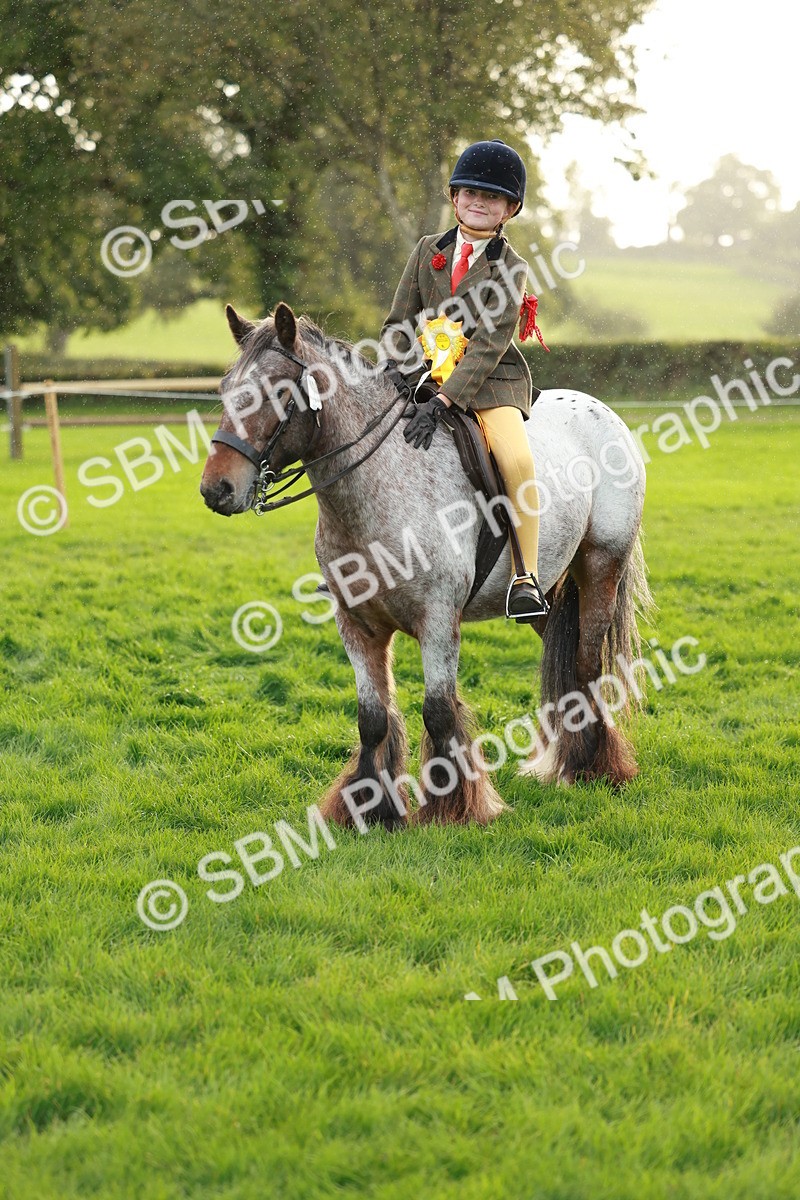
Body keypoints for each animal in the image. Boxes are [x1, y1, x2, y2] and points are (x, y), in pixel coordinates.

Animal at [200, 302, 654, 829]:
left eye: (277, 392)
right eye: (224, 389)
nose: (216, 489)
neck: (379, 486)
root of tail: (604, 413)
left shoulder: (437, 621)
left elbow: (438, 711)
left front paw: (453, 807)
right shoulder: (356, 624)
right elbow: (372, 718)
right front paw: (371, 808)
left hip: (602, 564)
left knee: (585, 664)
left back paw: (593, 767)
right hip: (546, 596)